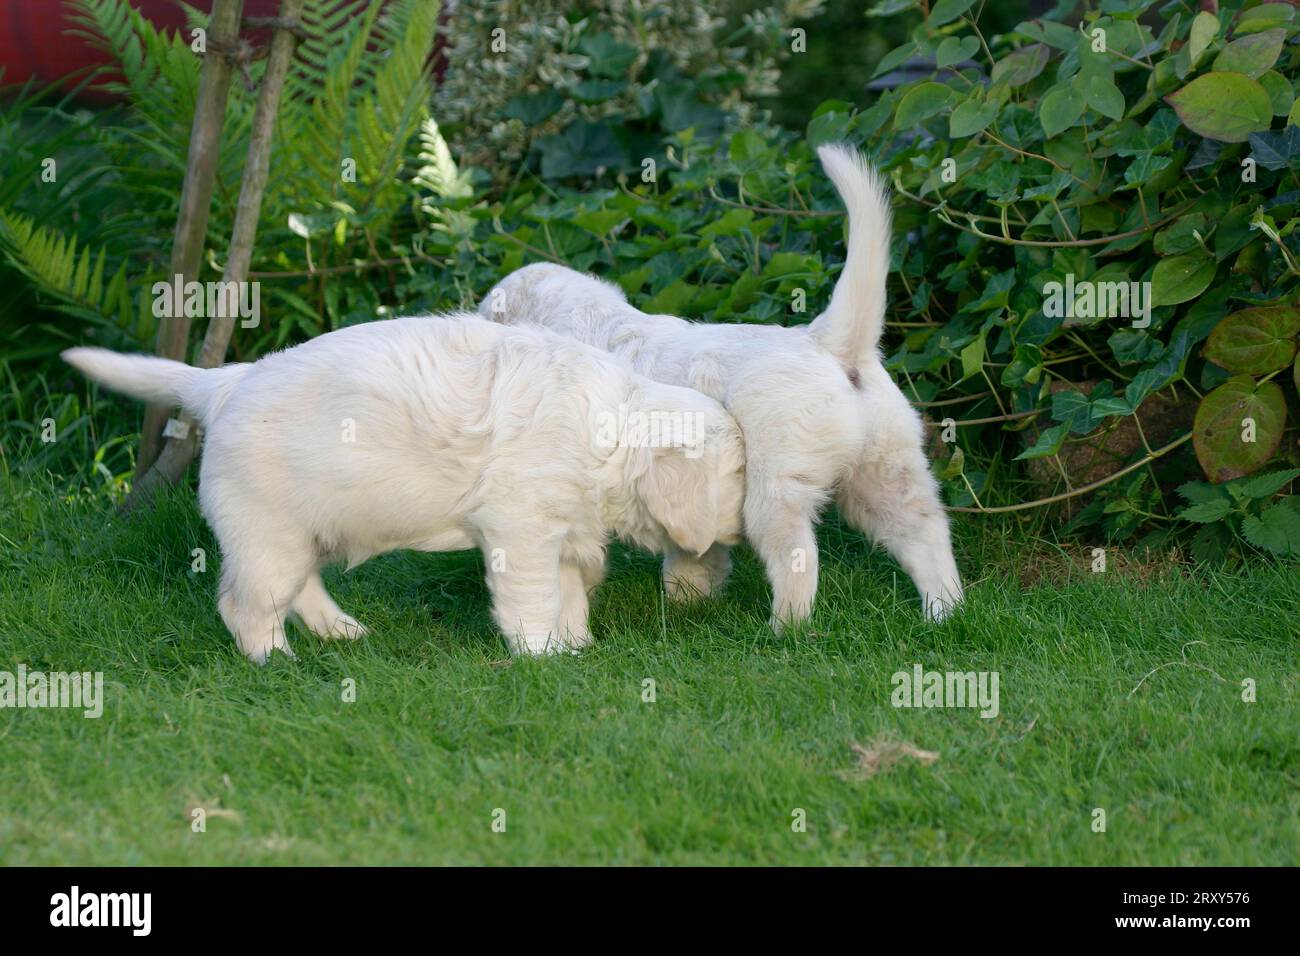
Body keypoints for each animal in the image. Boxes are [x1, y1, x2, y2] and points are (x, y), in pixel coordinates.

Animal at [65, 316, 748, 665]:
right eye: (739, 475)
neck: (611, 428)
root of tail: (226, 382)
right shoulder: (521, 528)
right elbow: (533, 598)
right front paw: (542, 655)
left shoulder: (567, 530)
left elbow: (571, 592)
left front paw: (575, 644)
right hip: (267, 531)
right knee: (247, 606)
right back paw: (277, 662)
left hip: (298, 530)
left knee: (300, 590)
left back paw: (343, 633)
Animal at [483, 141, 961, 629]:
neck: (588, 317)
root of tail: (826, 341)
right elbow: (696, 548)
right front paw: (690, 598)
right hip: (887, 467)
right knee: (924, 530)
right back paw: (945, 612)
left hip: (777, 488)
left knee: (798, 557)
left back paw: (784, 629)